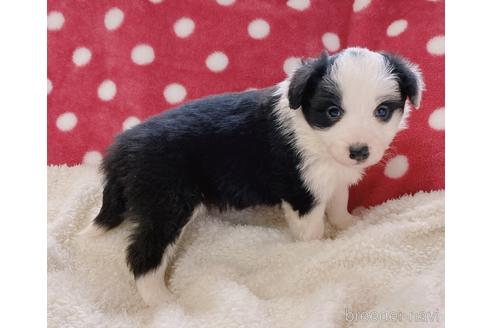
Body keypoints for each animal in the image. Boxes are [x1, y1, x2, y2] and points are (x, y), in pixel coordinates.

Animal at [85, 46, 422, 304]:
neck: (312, 132)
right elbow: (311, 233)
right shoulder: (302, 192)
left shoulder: (333, 177)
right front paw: (316, 251)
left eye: (382, 111)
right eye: (333, 112)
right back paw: (163, 302)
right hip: (167, 204)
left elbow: (339, 203)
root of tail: (121, 150)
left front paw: (351, 226)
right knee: (142, 255)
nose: (359, 151)